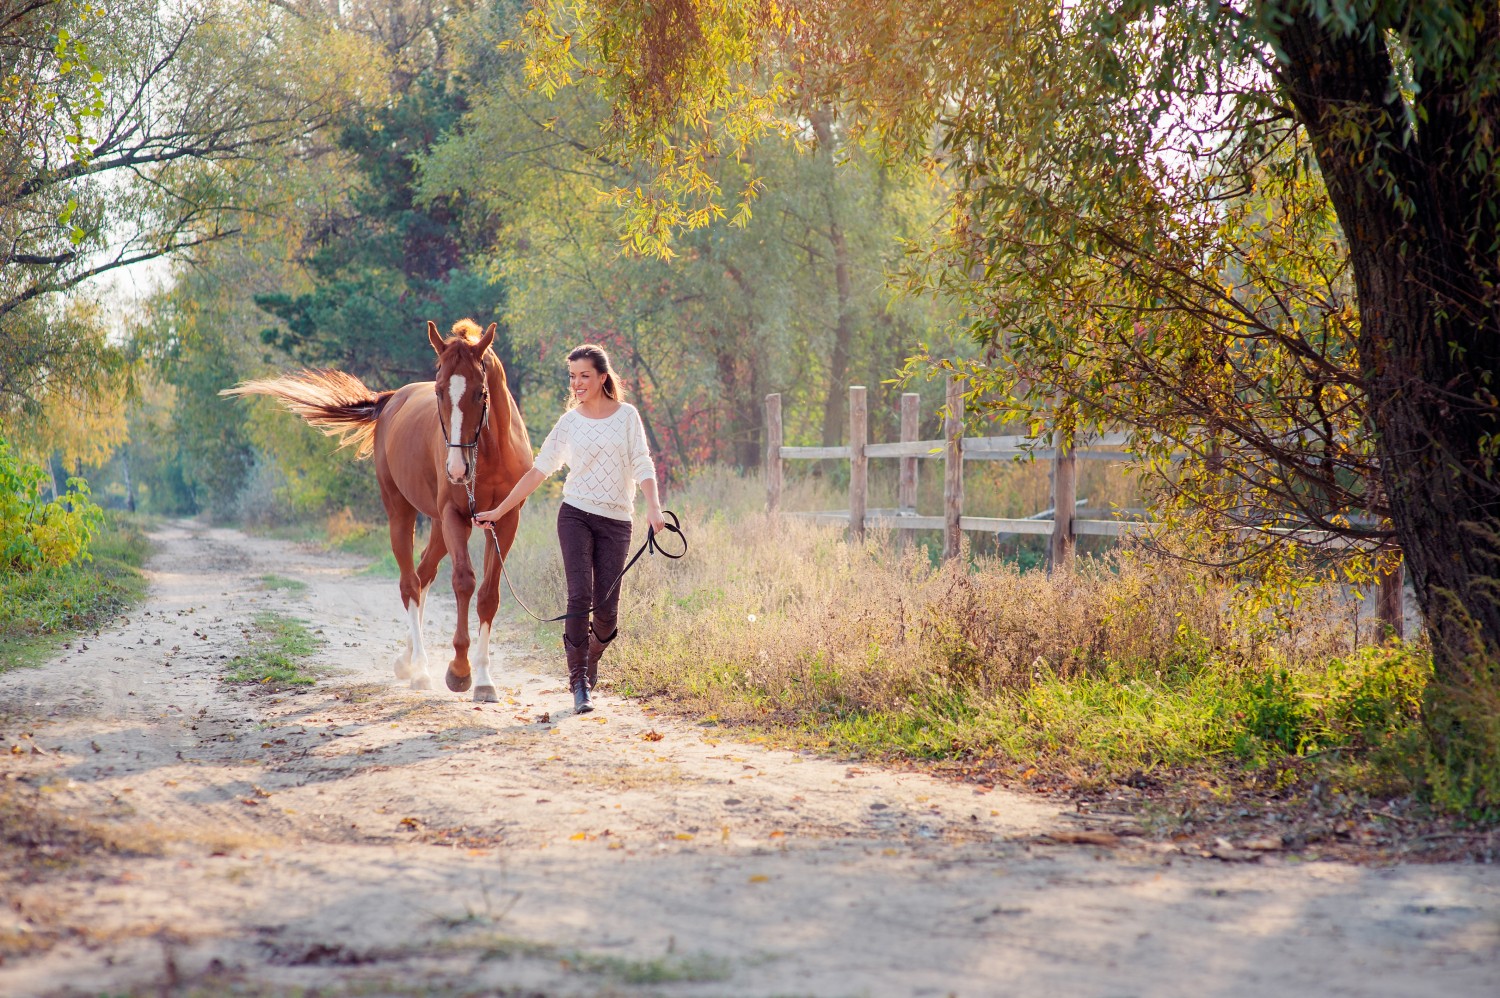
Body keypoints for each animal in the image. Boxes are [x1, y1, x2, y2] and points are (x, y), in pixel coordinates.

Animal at [219, 319, 531, 699]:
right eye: (440, 391)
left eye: (480, 393)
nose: (457, 470)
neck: (491, 451)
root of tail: (392, 399)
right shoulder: (457, 518)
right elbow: (463, 581)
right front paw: (459, 670)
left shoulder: (505, 521)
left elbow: (488, 595)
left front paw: (484, 679)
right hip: (404, 514)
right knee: (410, 583)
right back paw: (420, 669)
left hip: (438, 525)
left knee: (423, 574)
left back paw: (407, 659)